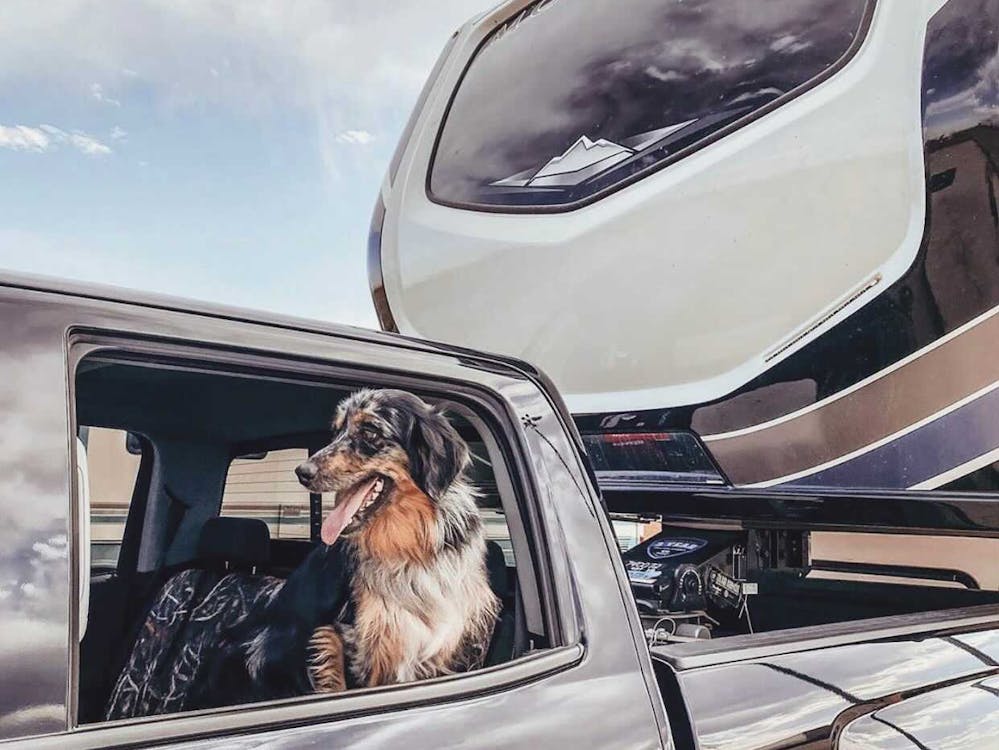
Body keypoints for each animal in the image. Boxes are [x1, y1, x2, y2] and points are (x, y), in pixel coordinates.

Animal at [188, 390, 500, 708]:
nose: (302, 472)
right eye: (337, 431)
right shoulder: (350, 639)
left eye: (370, 431)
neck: (410, 549)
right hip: (259, 649)